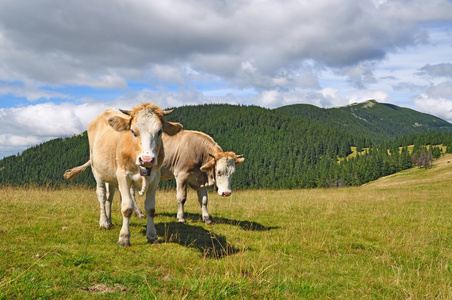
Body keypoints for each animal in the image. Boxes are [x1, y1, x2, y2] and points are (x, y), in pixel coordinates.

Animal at [63, 103, 182, 246]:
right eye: (133, 131)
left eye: (159, 132)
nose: (147, 159)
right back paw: (103, 222)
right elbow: (127, 208)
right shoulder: (123, 175)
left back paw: (109, 221)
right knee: (102, 196)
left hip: (111, 177)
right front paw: (124, 238)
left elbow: (150, 208)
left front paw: (152, 236)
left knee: (109, 198)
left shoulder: (155, 177)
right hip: (97, 170)